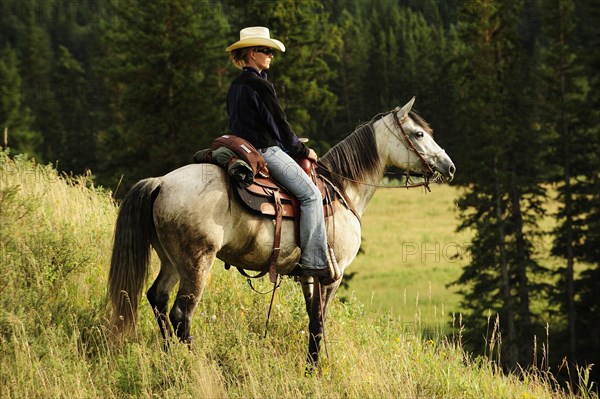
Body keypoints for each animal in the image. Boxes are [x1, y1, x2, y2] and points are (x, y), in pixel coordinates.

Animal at [109, 98, 454, 368]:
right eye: (418, 134)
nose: (449, 167)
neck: (343, 189)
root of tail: (161, 183)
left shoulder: (308, 274)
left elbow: (312, 319)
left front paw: (310, 366)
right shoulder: (334, 274)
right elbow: (320, 321)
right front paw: (316, 371)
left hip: (171, 260)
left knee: (157, 298)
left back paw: (170, 357)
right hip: (197, 262)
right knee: (181, 312)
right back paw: (193, 364)